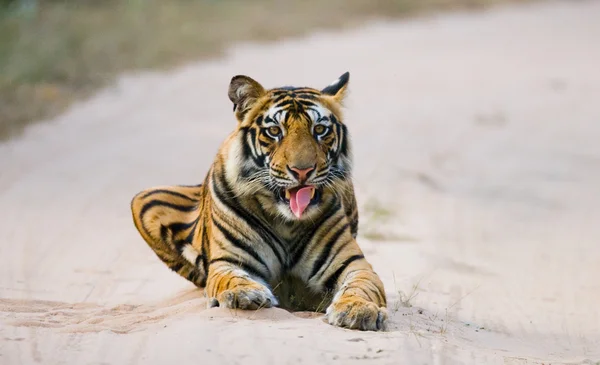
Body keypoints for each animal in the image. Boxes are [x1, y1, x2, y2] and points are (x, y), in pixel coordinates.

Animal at [129, 71, 386, 330]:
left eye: (320, 129)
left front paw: (357, 309)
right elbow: (230, 278)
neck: (286, 222)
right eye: (274, 131)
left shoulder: (352, 263)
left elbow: (362, 286)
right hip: (143, 199)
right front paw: (244, 294)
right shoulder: (229, 261)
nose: (302, 171)